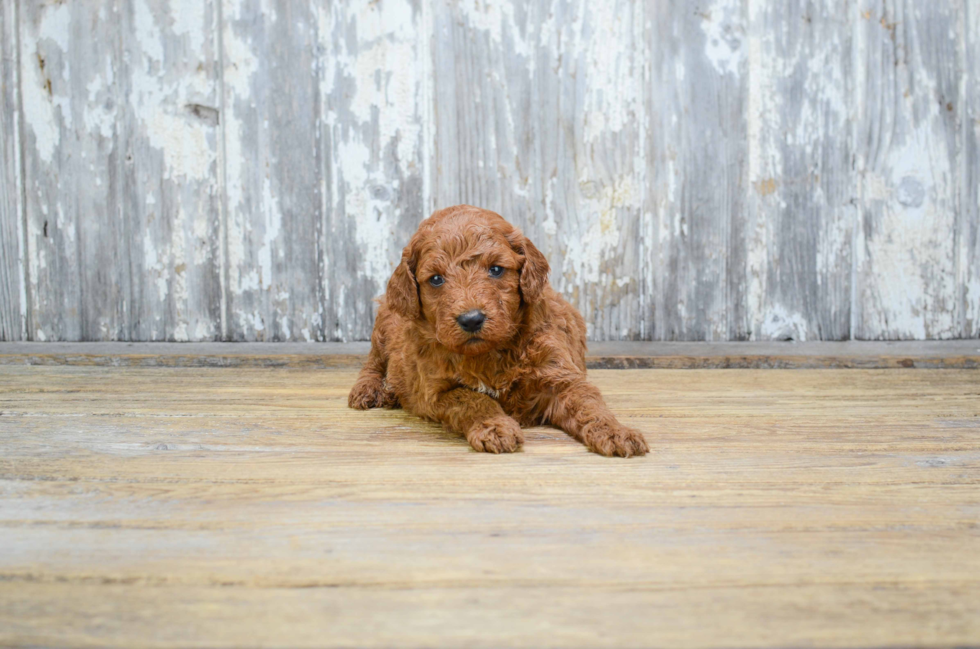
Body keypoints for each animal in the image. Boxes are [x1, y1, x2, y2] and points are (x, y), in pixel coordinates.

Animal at [348, 202, 648, 456]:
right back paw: (371, 390)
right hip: (386, 323)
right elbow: (472, 399)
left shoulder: (560, 375)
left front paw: (616, 432)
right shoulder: (434, 390)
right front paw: (495, 427)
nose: (471, 319)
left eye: (495, 269)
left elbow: (589, 404)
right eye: (435, 279)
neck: (489, 353)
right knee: (374, 361)